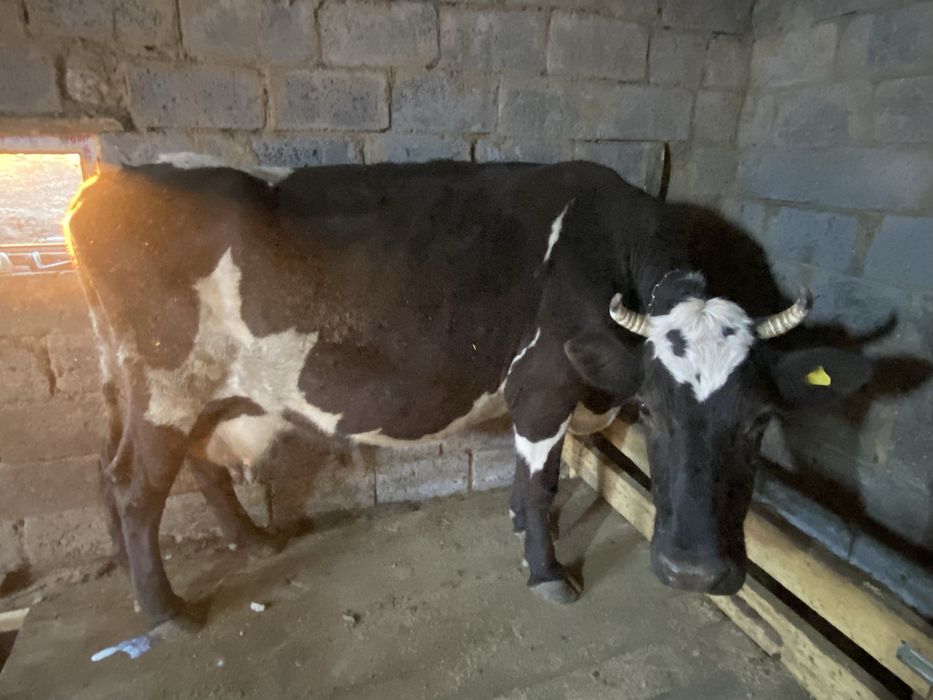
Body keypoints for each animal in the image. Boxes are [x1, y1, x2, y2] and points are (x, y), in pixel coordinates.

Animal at [64, 159, 871, 635]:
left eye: (760, 422)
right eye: (651, 411)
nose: (694, 574)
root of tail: (106, 181)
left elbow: (526, 482)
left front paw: (519, 529)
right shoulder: (543, 384)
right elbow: (542, 482)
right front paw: (547, 571)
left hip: (167, 386)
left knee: (151, 466)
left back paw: (244, 542)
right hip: (167, 384)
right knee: (136, 486)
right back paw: (164, 610)